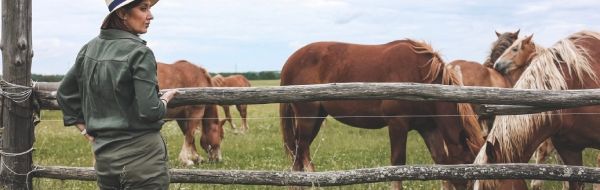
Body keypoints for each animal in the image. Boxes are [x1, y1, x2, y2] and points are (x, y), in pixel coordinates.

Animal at [278, 39, 486, 189]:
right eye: (468, 166)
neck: (420, 74)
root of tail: (290, 61)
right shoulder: (397, 124)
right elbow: (397, 165)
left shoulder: (429, 128)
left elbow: (441, 162)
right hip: (307, 117)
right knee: (303, 152)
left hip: (316, 118)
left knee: (297, 156)